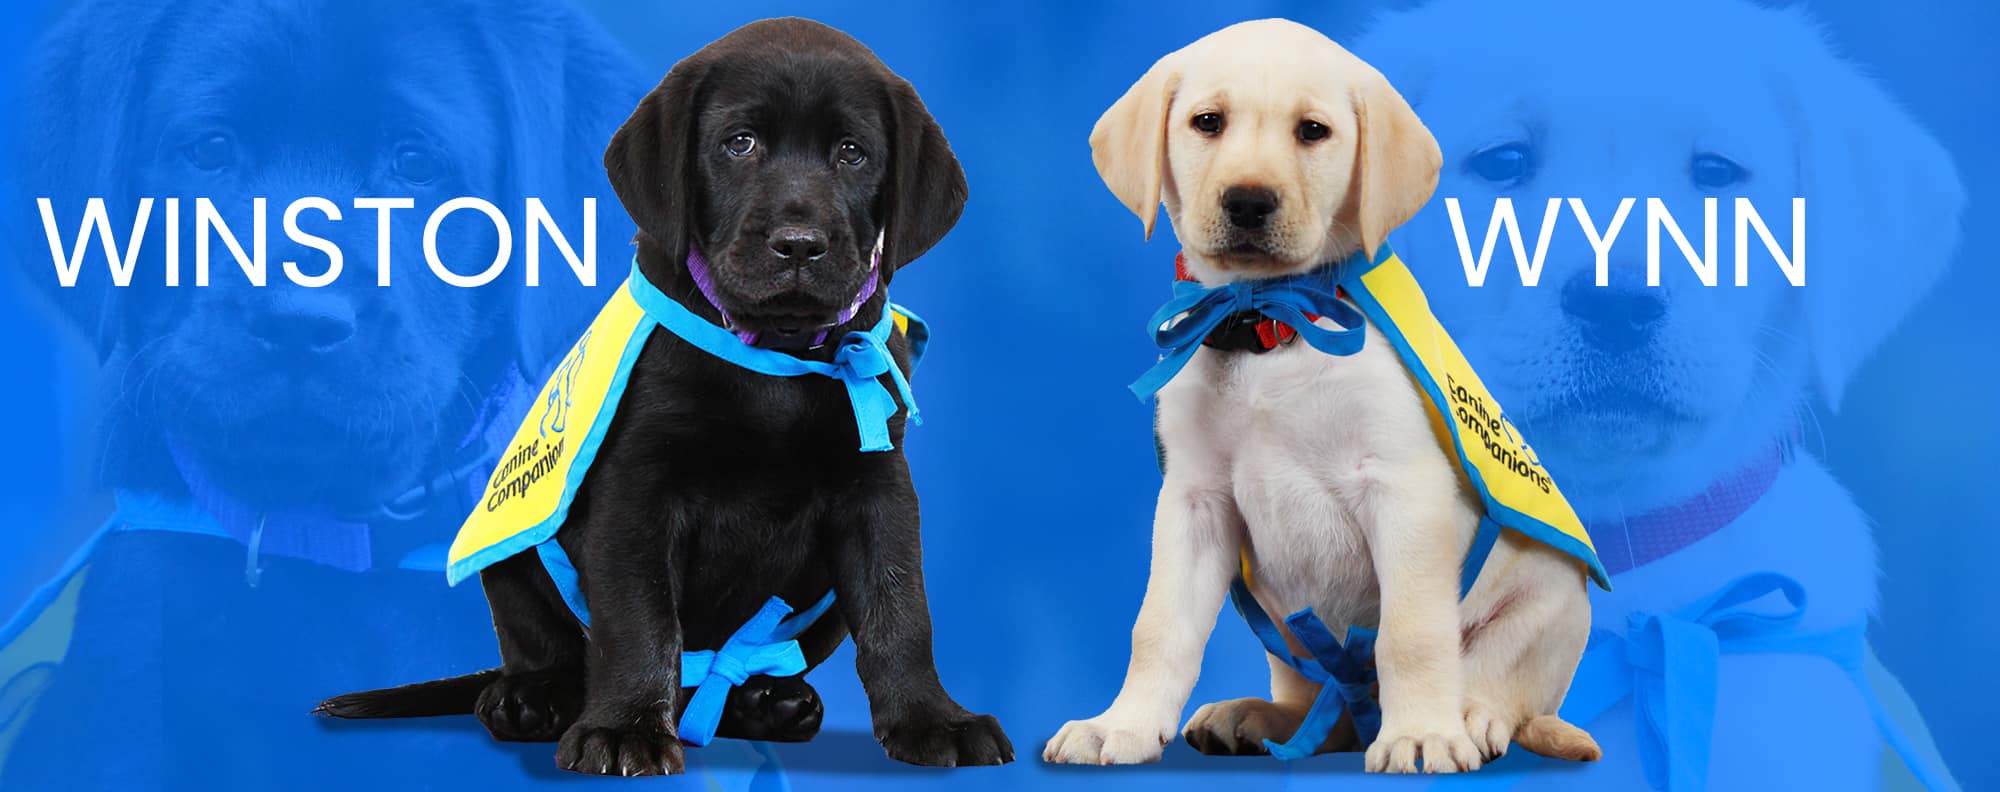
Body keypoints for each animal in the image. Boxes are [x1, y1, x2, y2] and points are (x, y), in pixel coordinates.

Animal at [328, 17, 1016, 772]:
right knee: (547, 650)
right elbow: (639, 619)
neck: (774, 358)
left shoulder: (877, 490)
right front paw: (624, 727)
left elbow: (901, 612)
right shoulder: (637, 492)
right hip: (512, 560)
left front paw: (934, 718)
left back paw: (766, 701)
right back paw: (528, 699)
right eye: (739, 144)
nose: (798, 244)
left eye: (853, 153)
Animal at [1048, 20, 1592, 772]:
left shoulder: (1405, 491)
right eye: (1207, 122)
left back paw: (1467, 718)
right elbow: (1158, 626)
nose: (1248, 201)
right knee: (1323, 711)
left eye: (1313, 131)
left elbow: (1412, 632)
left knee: (1500, 684)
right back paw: (1259, 717)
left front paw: (1421, 733)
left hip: (1550, 596)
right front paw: (1121, 724)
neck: (1267, 323)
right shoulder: (1193, 500)